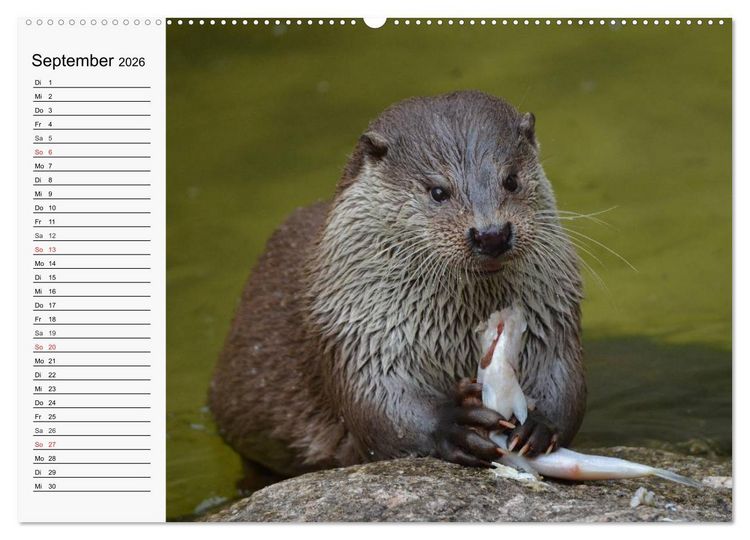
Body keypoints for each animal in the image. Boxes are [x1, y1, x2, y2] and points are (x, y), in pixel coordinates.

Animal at [209, 90, 585, 478]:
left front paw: (540, 425)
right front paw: (452, 423)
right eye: (438, 191)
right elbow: (380, 407)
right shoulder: (355, 330)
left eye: (510, 180)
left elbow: (564, 378)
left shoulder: (552, 313)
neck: (456, 331)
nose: (491, 234)